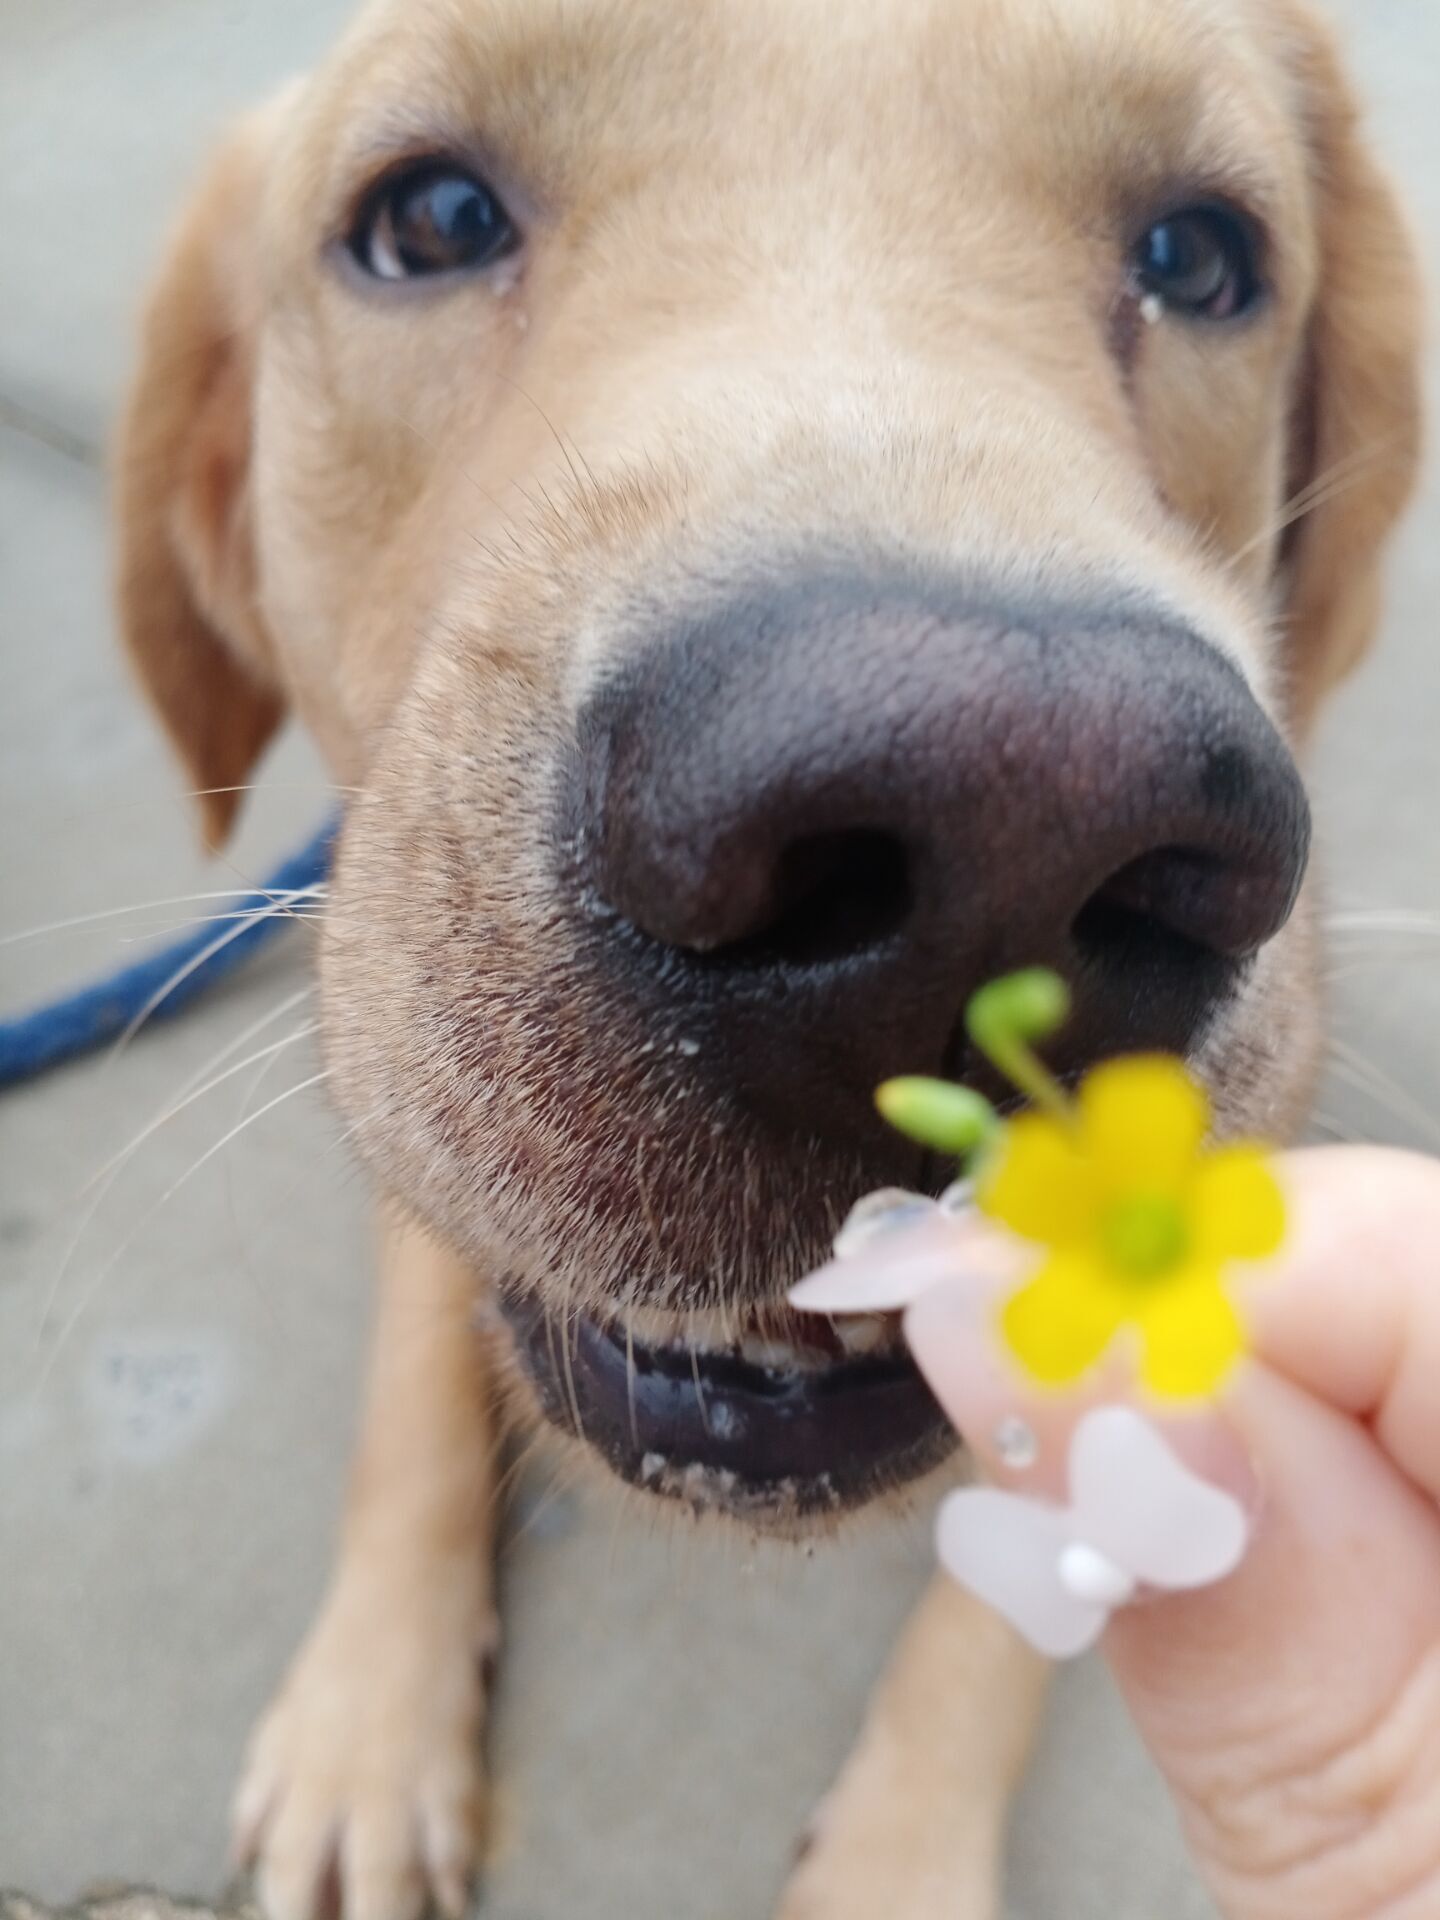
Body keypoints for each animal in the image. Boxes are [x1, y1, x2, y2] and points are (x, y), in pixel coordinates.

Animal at [112, 0, 1420, 1912]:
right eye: (426, 220)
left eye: (1200, 255)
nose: (1004, 828)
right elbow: (410, 1398)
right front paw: (368, 1718)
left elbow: (1021, 1589)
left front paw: (900, 1856)